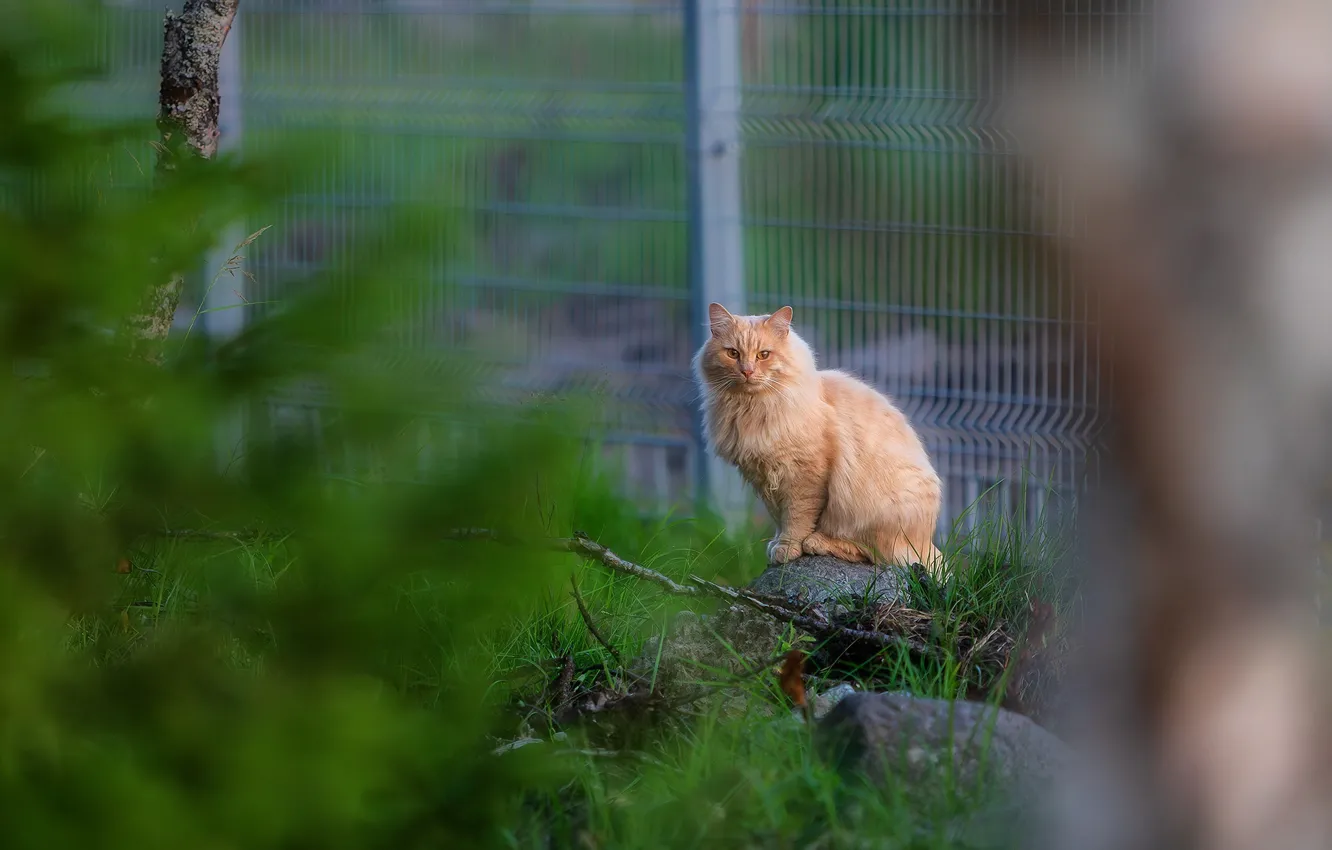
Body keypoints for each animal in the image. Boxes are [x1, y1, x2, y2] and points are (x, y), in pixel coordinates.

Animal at [692, 305, 943, 572]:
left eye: (763, 355)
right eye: (732, 353)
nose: (747, 371)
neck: (752, 408)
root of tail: (928, 542)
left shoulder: (804, 474)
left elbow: (797, 517)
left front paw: (788, 548)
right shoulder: (764, 478)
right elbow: (780, 517)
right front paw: (777, 543)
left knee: (876, 555)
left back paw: (818, 542)